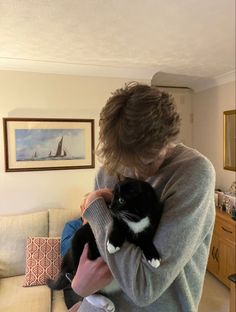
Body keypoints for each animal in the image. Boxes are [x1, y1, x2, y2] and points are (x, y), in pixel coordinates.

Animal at [47, 177, 163, 310]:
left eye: (121, 200)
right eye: (112, 197)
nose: (110, 206)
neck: (135, 220)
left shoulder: (153, 221)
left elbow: (147, 240)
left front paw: (153, 256)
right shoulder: (116, 219)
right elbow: (117, 227)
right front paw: (113, 244)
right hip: (78, 243)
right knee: (78, 284)